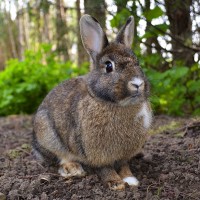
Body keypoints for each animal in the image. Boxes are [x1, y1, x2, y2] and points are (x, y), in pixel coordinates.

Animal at [32, 14, 152, 191]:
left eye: (138, 63)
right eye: (108, 66)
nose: (137, 83)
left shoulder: (124, 155)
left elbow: (124, 165)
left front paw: (130, 179)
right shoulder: (97, 154)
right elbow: (105, 168)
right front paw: (116, 183)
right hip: (47, 135)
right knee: (59, 158)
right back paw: (73, 169)